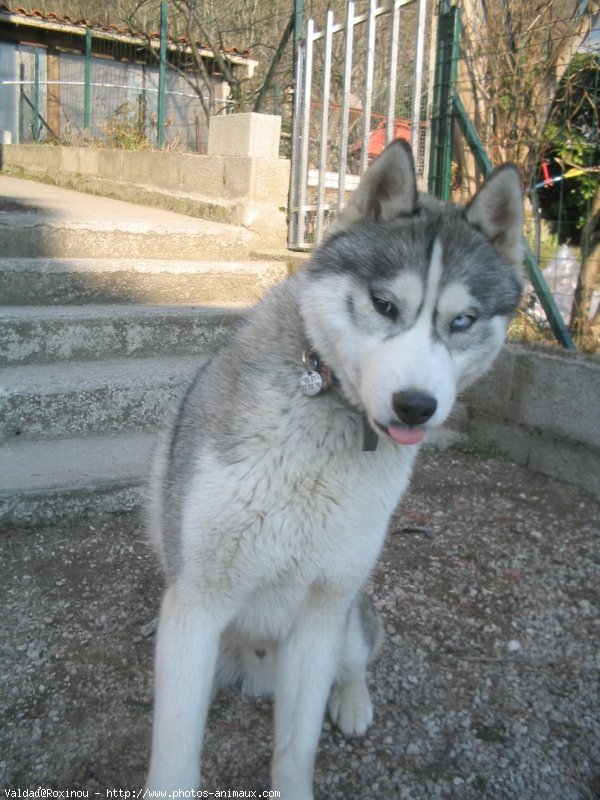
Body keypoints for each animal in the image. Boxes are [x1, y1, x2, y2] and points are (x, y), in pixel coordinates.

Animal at [144, 141, 520, 796]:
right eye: (384, 305)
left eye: (463, 321)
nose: (415, 405)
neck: (326, 419)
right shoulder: (194, 604)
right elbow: (175, 758)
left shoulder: (322, 615)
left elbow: (296, 747)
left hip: (350, 621)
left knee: (357, 662)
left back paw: (353, 701)